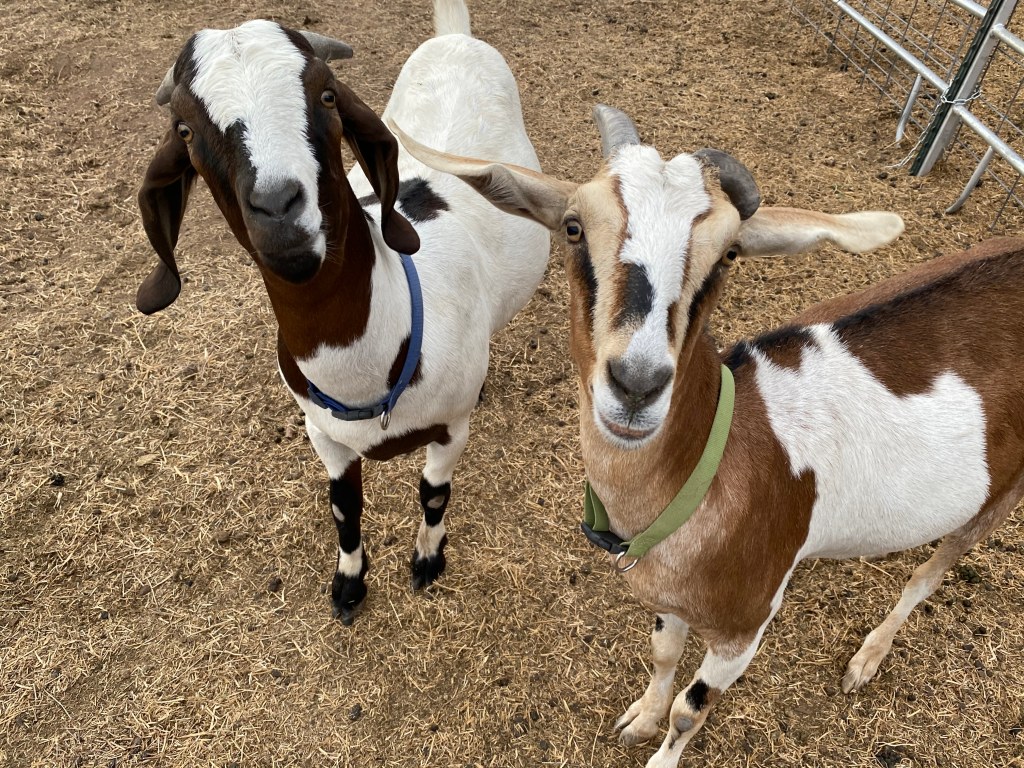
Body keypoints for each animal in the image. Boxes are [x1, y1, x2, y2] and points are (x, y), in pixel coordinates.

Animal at [135, 1, 549, 623]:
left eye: (327, 95)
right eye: (185, 129)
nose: (279, 210)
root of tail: (455, 38)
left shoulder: (451, 429)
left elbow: (434, 493)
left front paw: (428, 559)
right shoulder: (322, 434)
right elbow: (343, 506)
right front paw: (349, 584)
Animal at [392, 105, 1023, 767]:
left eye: (729, 255)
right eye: (572, 227)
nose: (637, 384)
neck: (715, 463)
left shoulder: (744, 628)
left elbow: (691, 709)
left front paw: (661, 749)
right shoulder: (670, 597)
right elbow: (664, 654)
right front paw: (640, 718)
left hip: (1002, 494)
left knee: (931, 574)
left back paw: (867, 658)